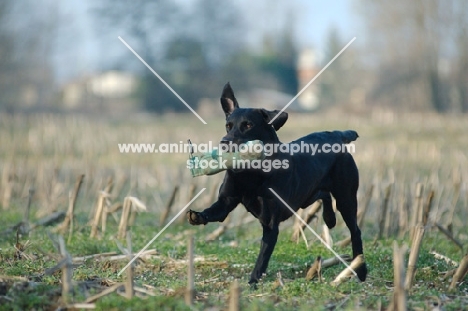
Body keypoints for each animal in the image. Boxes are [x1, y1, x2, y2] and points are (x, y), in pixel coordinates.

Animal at [188, 83, 368, 286]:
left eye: (248, 125)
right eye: (228, 125)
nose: (225, 142)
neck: (252, 173)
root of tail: (336, 135)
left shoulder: (270, 222)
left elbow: (263, 256)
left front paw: (253, 280)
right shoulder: (226, 201)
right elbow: (213, 212)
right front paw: (197, 216)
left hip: (346, 197)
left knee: (355, 231)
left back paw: (360, 270)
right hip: (307, 194)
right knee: (324, 195)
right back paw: (329, 219)